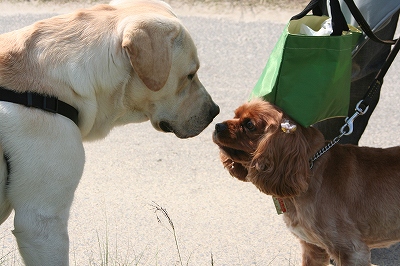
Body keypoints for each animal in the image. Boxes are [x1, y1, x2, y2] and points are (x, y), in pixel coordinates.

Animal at [214, 98, 400, 264]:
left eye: (249, 125)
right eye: (235, 115)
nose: (217, 126)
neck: (310, 168)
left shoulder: (352, 251)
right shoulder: (313, 248)